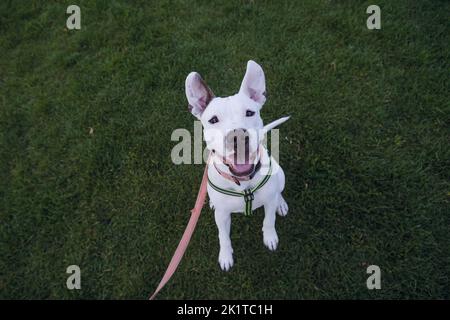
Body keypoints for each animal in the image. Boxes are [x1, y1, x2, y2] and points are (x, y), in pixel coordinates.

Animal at [185, 60, 288, 270]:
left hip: (280, 175)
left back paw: (281, 203)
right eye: (213, 119)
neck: (242, 182)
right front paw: (225, 256)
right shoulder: (223, 216)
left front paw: (270, 237)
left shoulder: (268, 202)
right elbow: (223, 237)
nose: (238, 136)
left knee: (278, 192)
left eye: (249, 112)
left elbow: (269, 220)